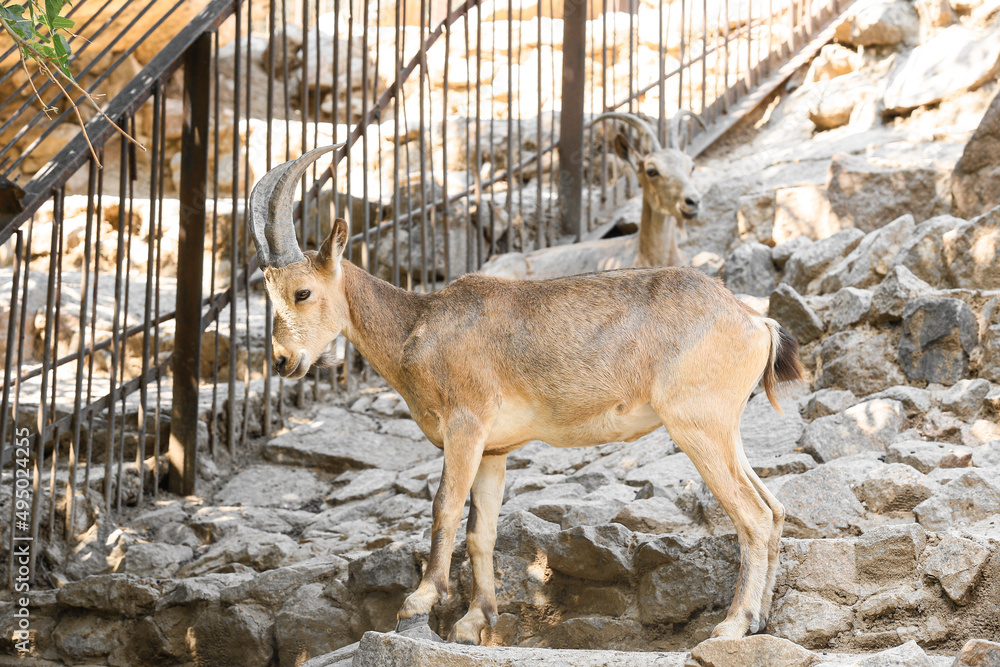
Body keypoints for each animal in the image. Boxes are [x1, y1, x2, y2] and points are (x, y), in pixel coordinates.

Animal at [248, 145, 805, 646]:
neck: (418, 327)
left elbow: (444, 507)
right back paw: (760, 619)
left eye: (302, 292)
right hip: (723, 428)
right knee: (774, 508)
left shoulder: (466, 425)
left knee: (753, 516)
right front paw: (474, 621)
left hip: (696, 424)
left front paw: (419, 601)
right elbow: (482, 530)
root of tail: (755, 323)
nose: (283, 361)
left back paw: (732, 624)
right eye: (268, 294)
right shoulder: (495, 449)